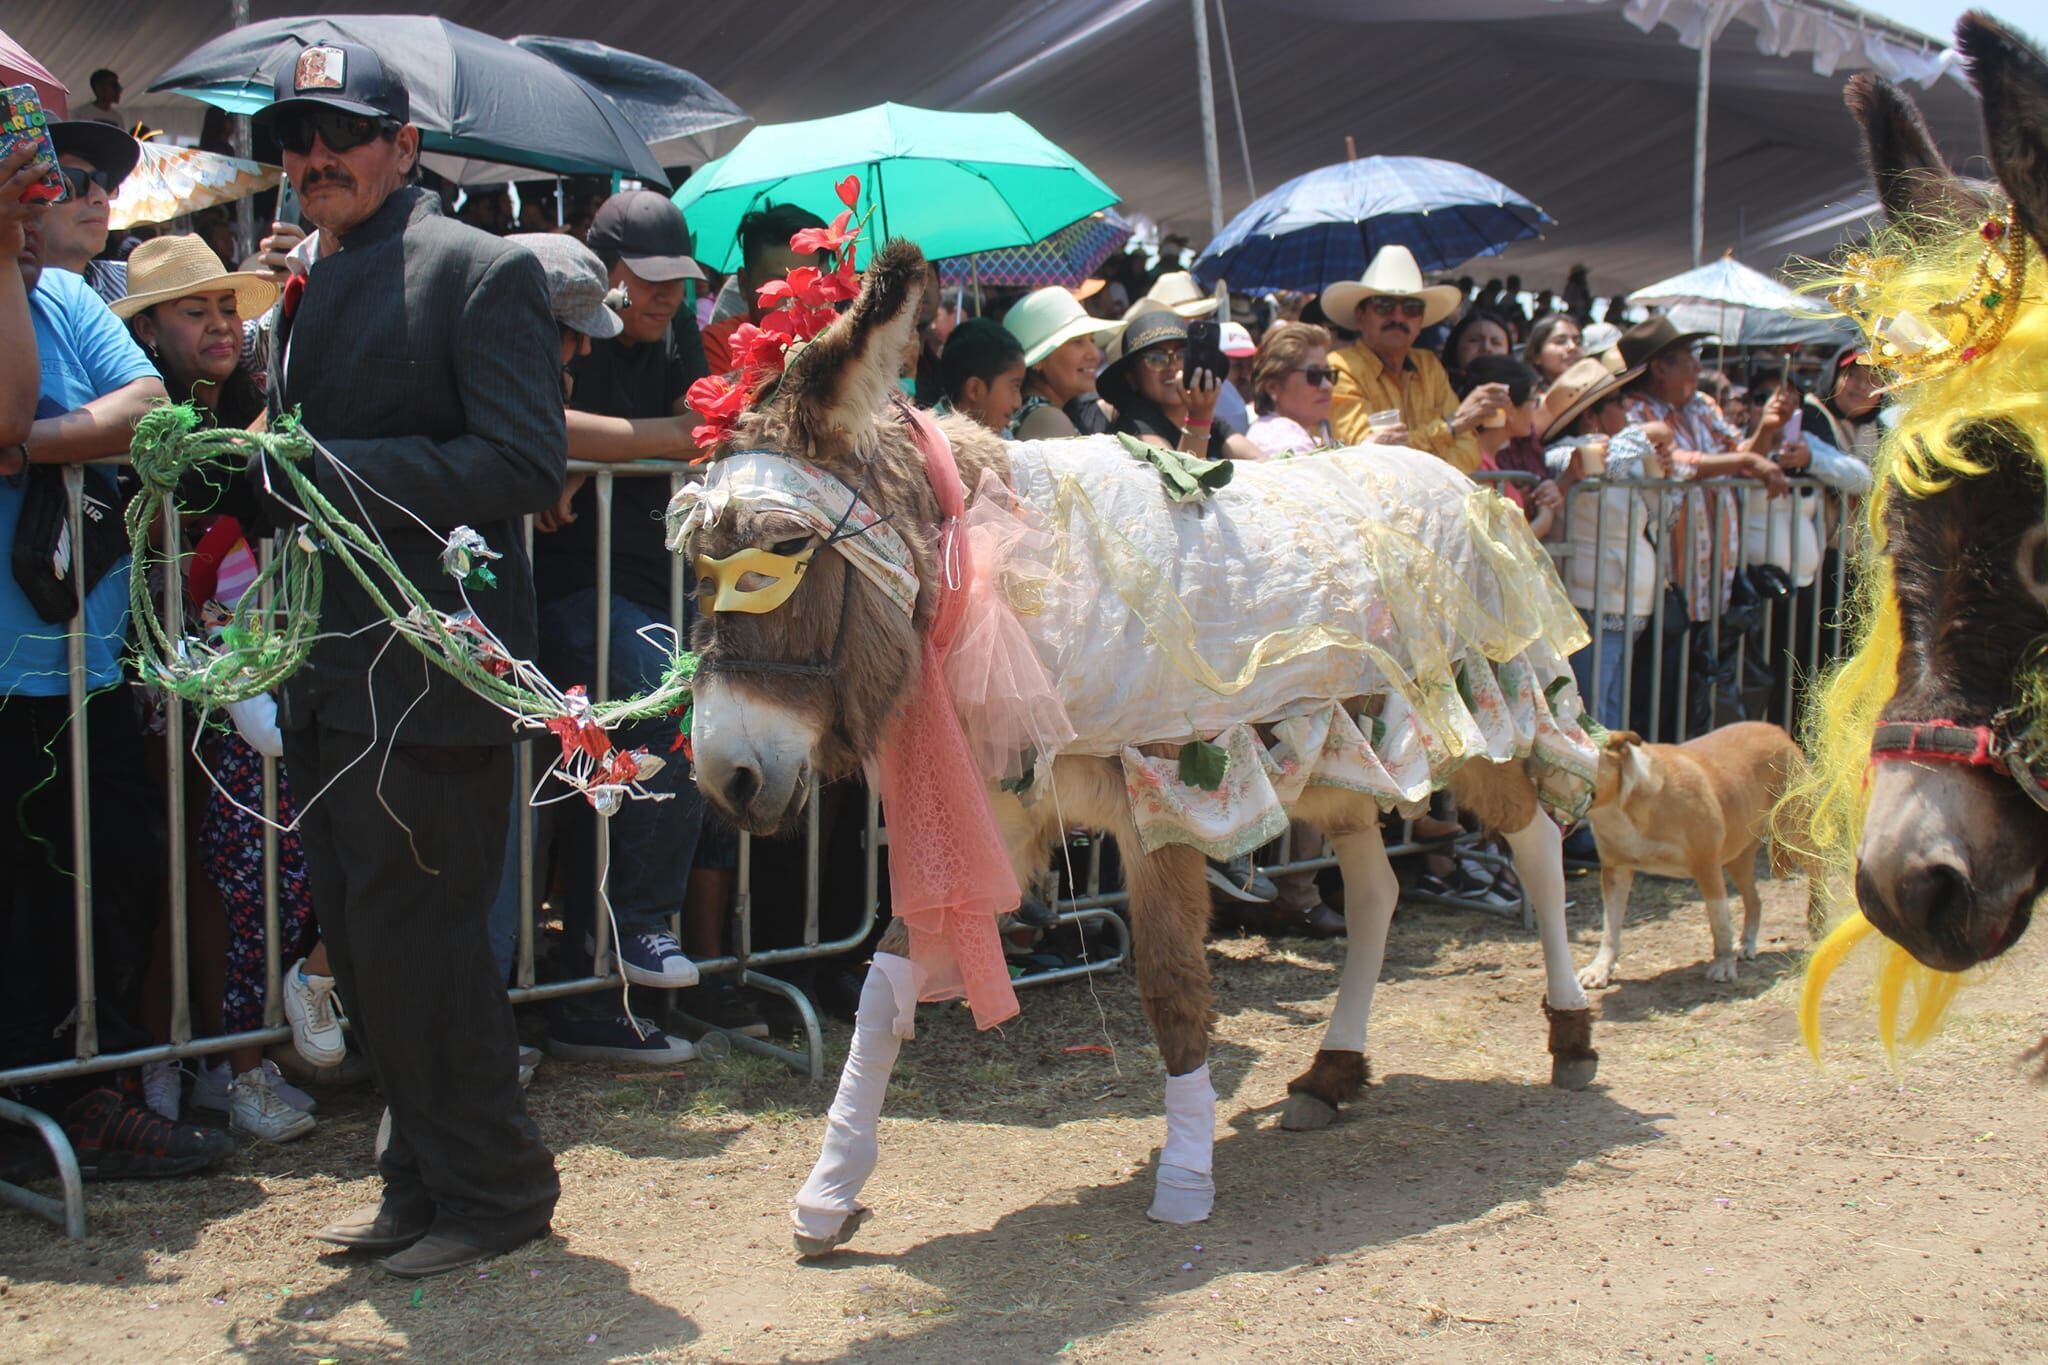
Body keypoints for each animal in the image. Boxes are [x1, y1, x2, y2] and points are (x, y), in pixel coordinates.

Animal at [1572, 720, 1802, 986]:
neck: (1623, 804)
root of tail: (1776, 729)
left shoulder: (1707, 866)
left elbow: (1720, 921)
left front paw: (1723, 963)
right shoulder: (1615, 871)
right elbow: (1610, 926)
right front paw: (1600, 968)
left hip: (1795, 834)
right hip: (1738, 858)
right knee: (1754, 901)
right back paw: (1747, 944)